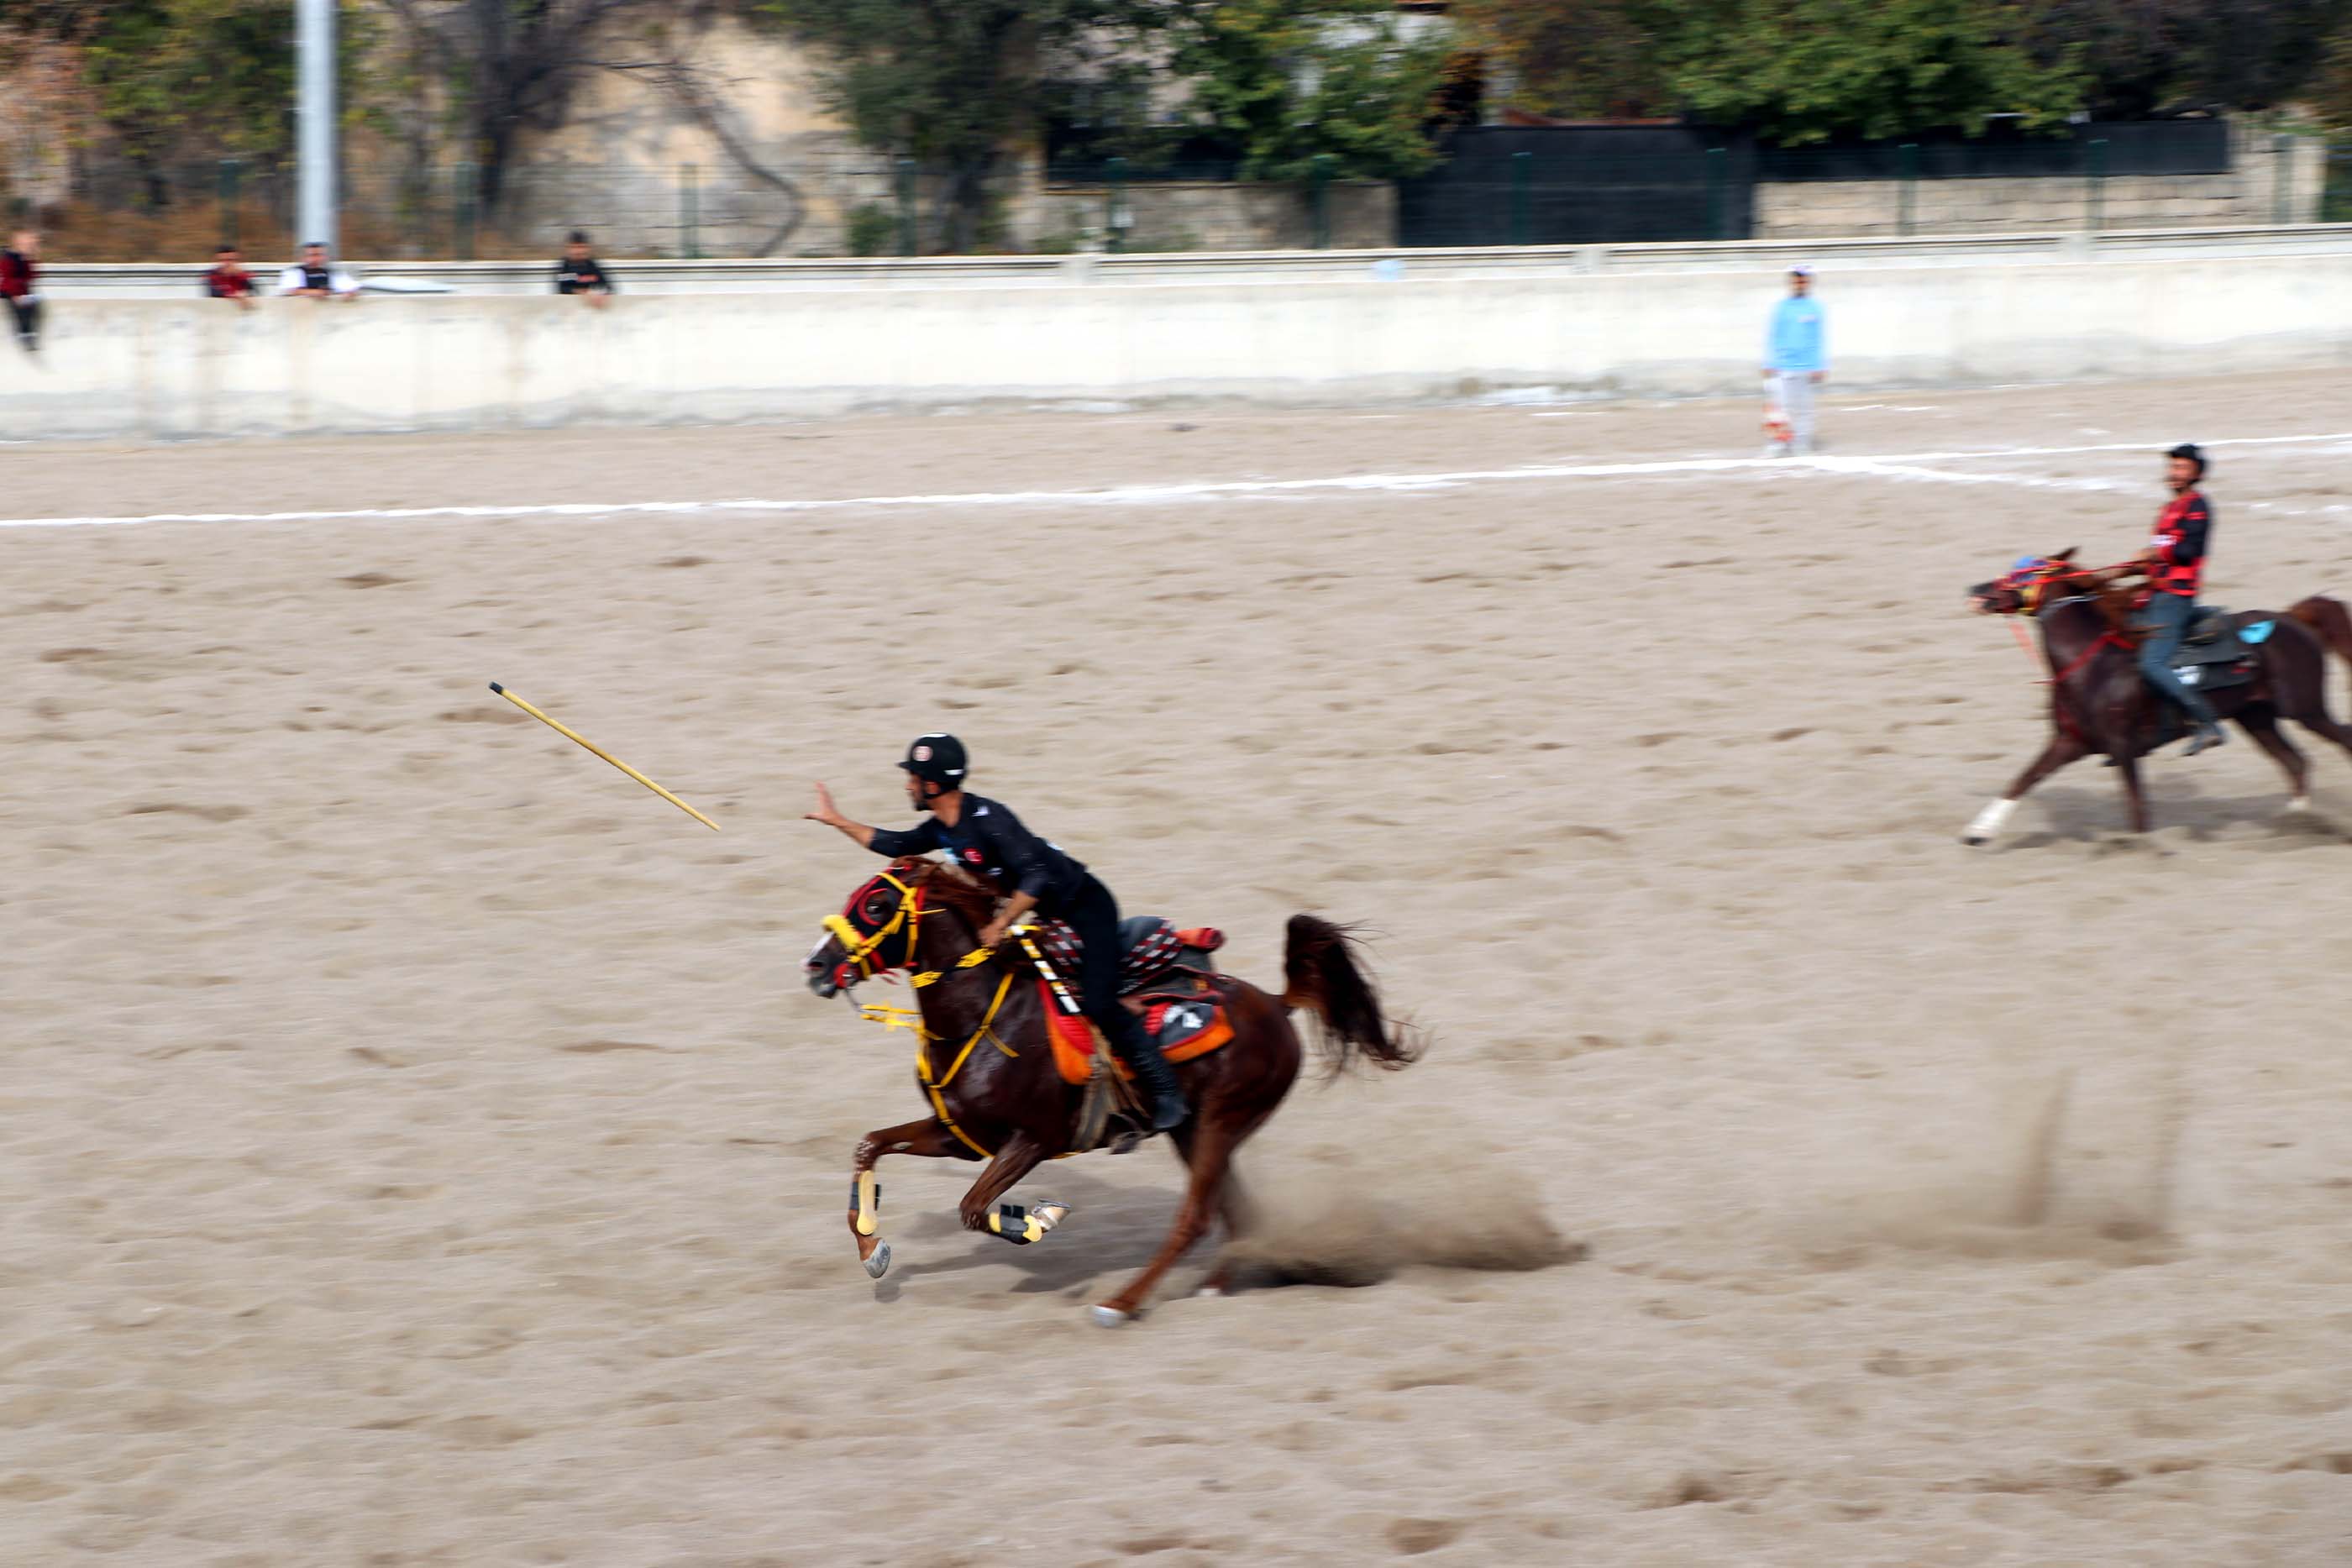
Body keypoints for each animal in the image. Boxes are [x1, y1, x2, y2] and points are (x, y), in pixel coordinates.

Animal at [800, 860, 1420, 1325]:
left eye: (878, 905)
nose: (817, 964)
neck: (986, 1018)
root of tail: (1275, 1002)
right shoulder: (962, 1135)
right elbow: (870, 1146)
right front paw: (874, 1251)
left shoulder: (1033, 1140)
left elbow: (974, 1208)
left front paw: (1041, 1217)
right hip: (1195, 1131)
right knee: (1233, 1212)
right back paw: (1215, 1285)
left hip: (1218, 1123)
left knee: (1196, 1217)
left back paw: (1120, 1303)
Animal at [1956, 552, 2352, 846]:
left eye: (2026, 573)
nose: (1977, 590)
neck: (2094, 665)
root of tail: (2291, 617)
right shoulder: (2069, 741)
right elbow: (2024, 779)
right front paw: (1979, 831)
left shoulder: (2123, 746)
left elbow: (2136, 806)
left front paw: (2141, 847)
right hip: (2257, 717)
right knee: (2294, 761)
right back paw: (2296, 822)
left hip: (2306, 709)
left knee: (2335, 741)